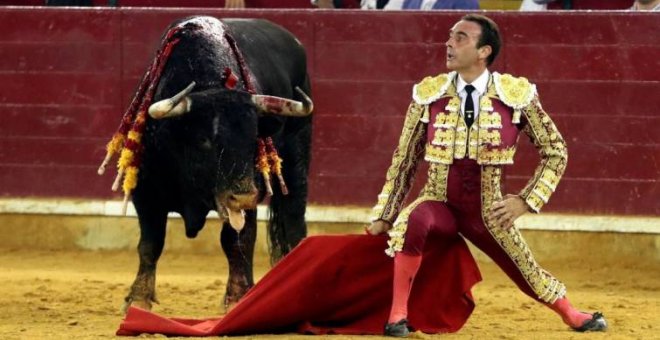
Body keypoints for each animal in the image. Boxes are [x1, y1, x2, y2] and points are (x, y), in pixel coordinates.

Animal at [99, 17, 314, 312]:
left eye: (254, 138)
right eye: (204, 140)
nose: (245, 196)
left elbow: (237, 243)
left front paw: (237, 297)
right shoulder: (146, 193)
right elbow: (151, 242)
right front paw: (138, 298)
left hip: (296, 156)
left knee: (293, 218)